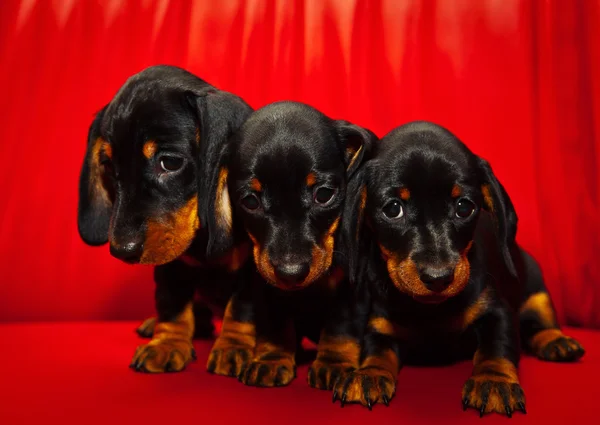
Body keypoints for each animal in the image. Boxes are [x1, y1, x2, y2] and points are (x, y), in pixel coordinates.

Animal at [76, 64, 252, 372]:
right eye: (108, 165)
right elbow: (173, 304)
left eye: (169, 162)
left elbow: (240, 307)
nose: (122, 251)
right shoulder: (172, 265)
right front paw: (167, 343)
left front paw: (233, 346)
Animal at [207, 100, 376, 388]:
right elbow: (277, 321)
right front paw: (272, 359)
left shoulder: (354, 284)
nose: (291, 272)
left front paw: (334, 364)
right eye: (250, 201)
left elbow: (341, 326)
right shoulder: (266, 283)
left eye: (324, 194)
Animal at [338, 121, 584, 414]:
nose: (438, 278)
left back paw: (555, 340)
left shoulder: (498, 311)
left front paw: (493, 381)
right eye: (393, 209)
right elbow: (376, 351)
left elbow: (497, 347)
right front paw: (369, 374)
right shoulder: (380, 325)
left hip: (537, 288)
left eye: (464, 207)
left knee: (540, 320)